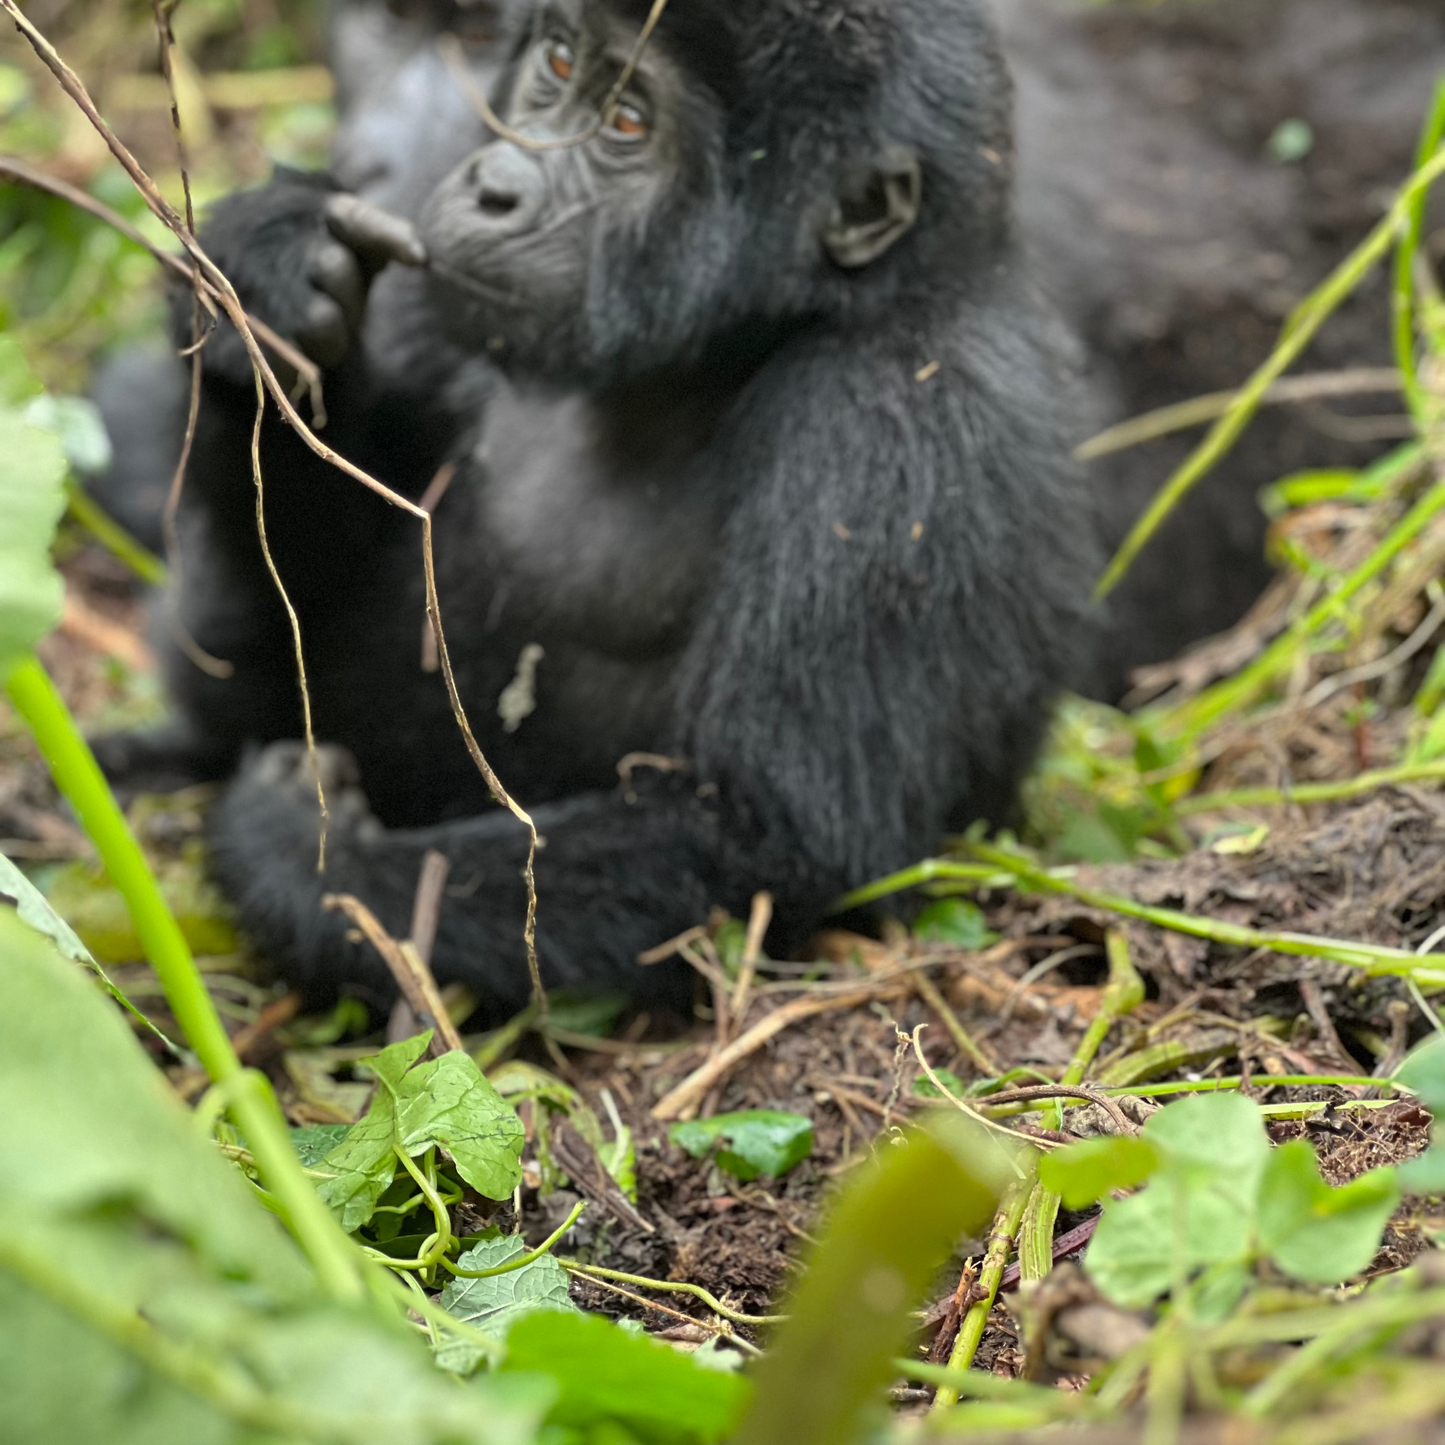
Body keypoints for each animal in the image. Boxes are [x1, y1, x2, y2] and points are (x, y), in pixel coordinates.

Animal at [140, 0, 1098, 1011]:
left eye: (629, 124)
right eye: (559, 62)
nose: (492, 187)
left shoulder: (897, 419)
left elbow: (764, 832)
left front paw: (308, 862)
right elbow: (280, 649)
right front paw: (267, 284)